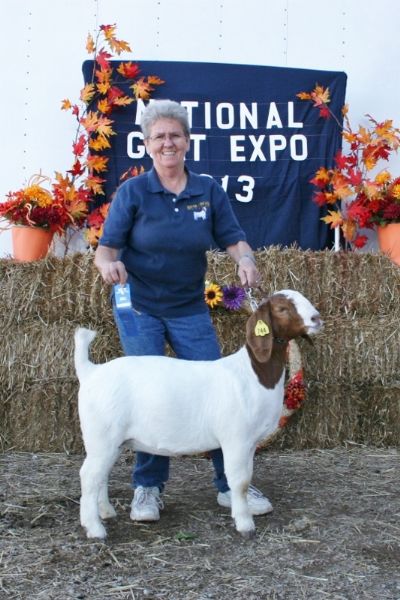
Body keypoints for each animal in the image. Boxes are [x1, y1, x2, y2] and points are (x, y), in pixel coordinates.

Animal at [75, 290, 324, 540]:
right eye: (282, 308)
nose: (316, 318)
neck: (252, 373)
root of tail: (91, 371)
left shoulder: (251, 443)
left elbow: (246, 478)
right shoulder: (236, 439)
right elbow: (240, 481)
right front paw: (245, 524)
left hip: (112, 441)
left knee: (101, 475)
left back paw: (106, 512)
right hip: (102, 435)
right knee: (88, 475)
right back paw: (95, 528)